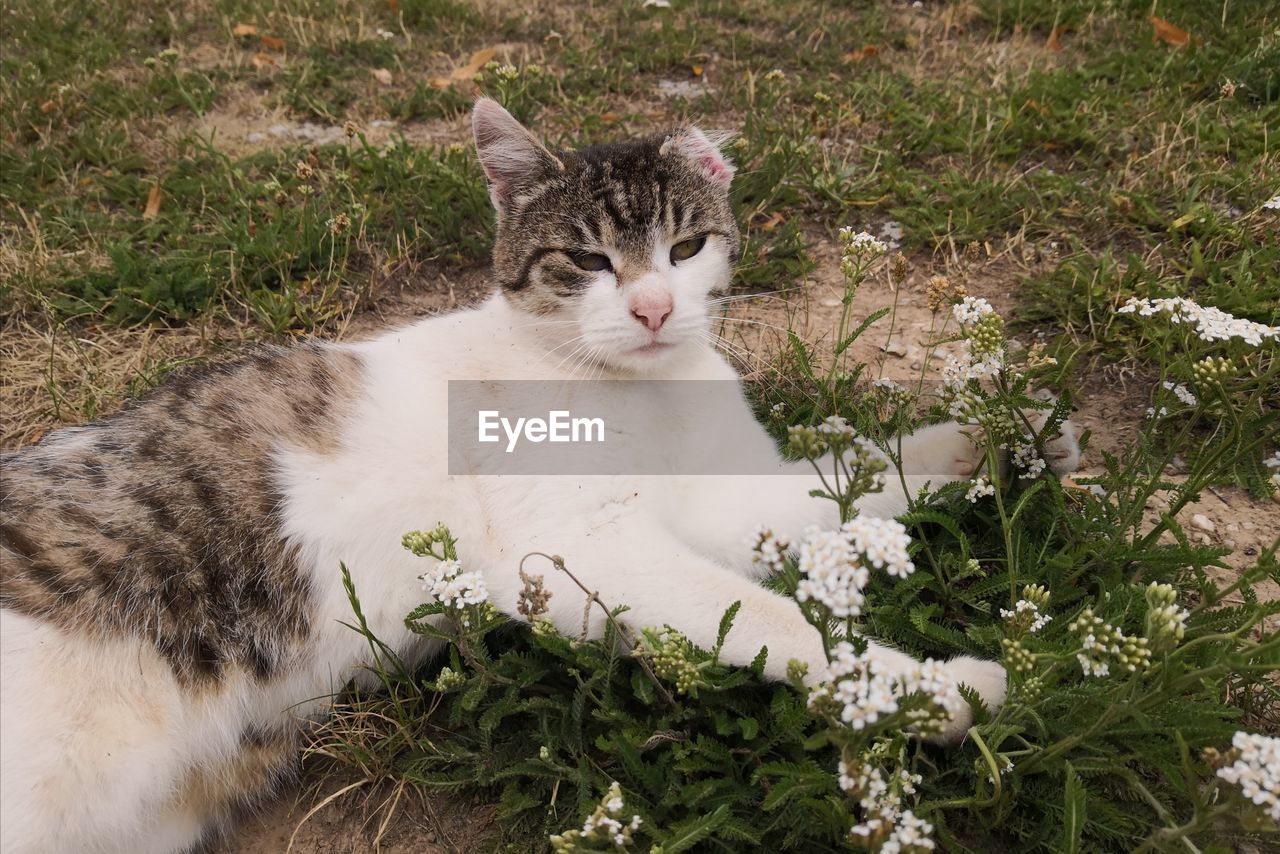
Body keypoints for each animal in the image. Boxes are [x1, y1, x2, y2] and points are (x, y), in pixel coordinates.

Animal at [0, 100, 1080, 854]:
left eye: (686, 246)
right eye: (586, 260)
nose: (653, 308)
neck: (641, 389)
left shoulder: (725, 501)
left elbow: (856, 479)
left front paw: (1001, 436)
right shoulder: (582, 554)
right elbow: (779, 619)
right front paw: (931, 690)